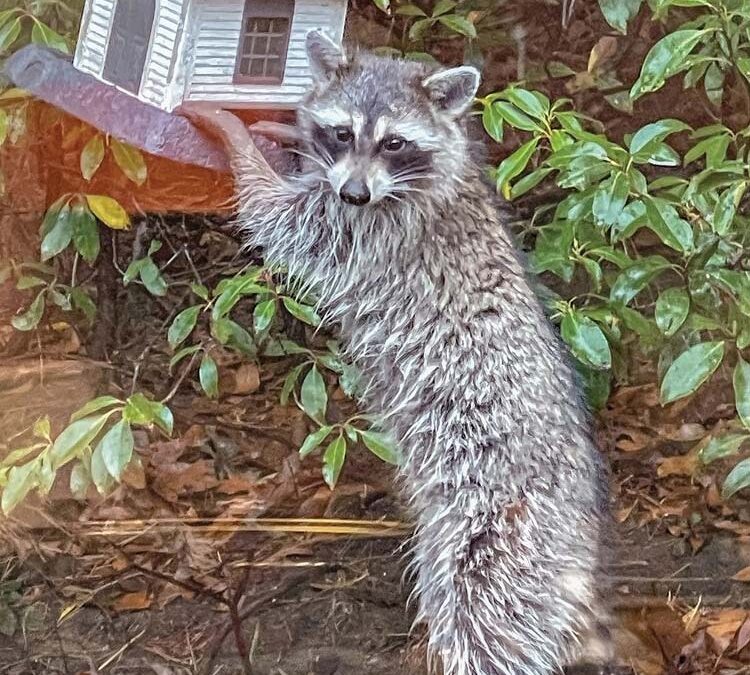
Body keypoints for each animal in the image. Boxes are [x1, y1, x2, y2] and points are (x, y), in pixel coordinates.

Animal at [186, 31, 610, 675]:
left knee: (484, 614)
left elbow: (282, 222)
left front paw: (239, 143)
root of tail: (579, 519)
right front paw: (287, 138)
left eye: (394, 142)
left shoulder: (373, 231)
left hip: (499, 529)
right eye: (342, 134)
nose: (354, 192)